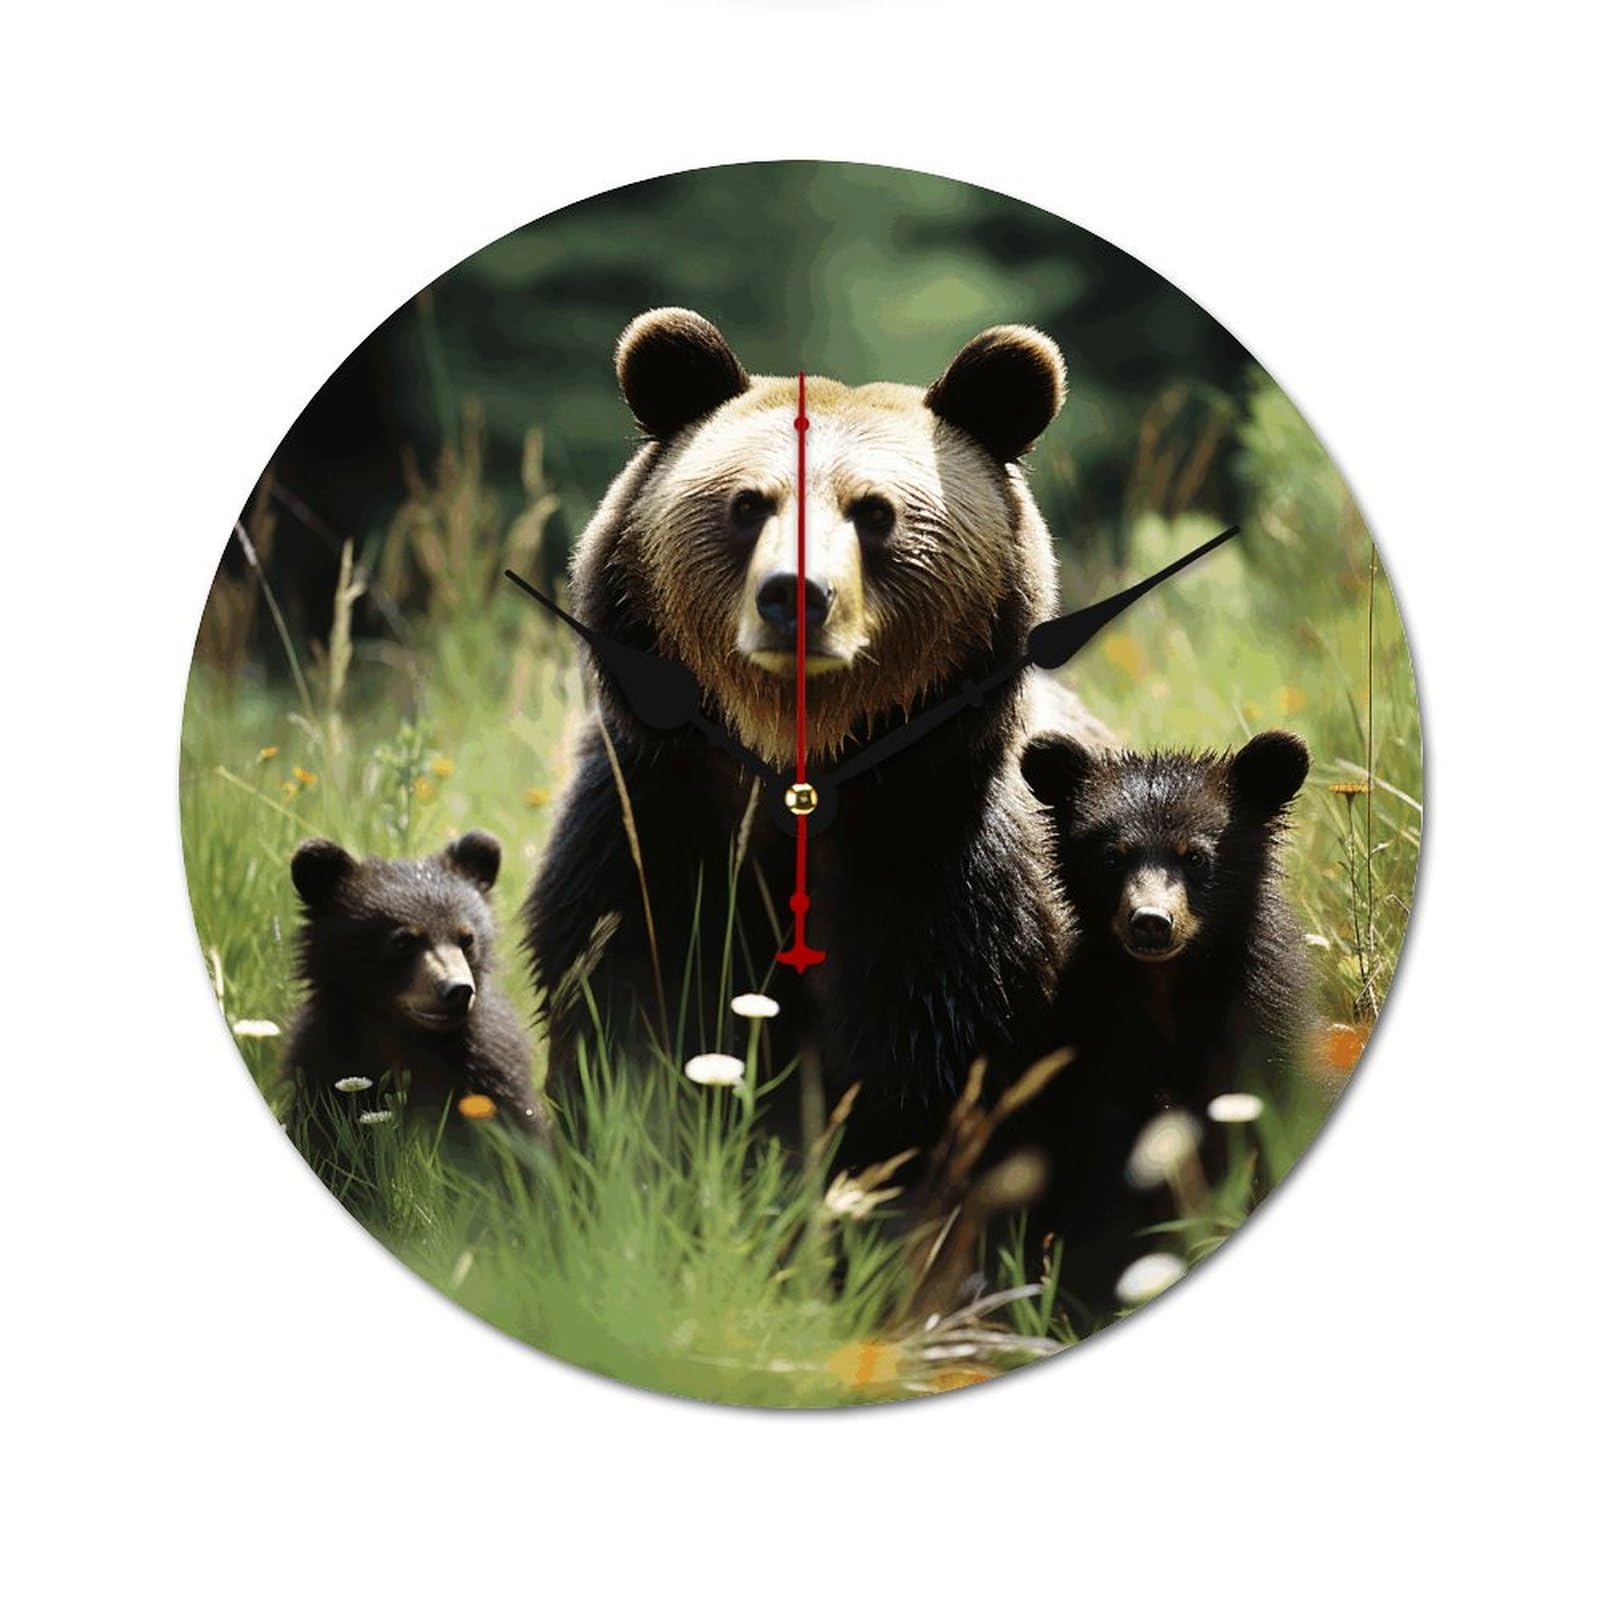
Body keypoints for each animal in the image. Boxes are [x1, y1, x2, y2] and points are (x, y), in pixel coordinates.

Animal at [285, 830, 546, 1162]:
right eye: (403, 941)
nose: (458, 990)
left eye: (467, 938)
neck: (408, 1040)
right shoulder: (324, 1070)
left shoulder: (493, 1074)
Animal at [524, 308, 1110, 1166]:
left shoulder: (941, 881)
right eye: (747, 504)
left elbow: (921, 1084)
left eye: (875, 511)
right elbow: (627, 1026)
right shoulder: (649, 831)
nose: (794, 595)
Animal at [1014, 728, 1313, 1315]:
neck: (1167, 984)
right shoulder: (1098, 1036)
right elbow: (1103, 1168)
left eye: (1195, 856)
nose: (1151, 923)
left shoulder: (1257, 1021)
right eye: (1112, 857)